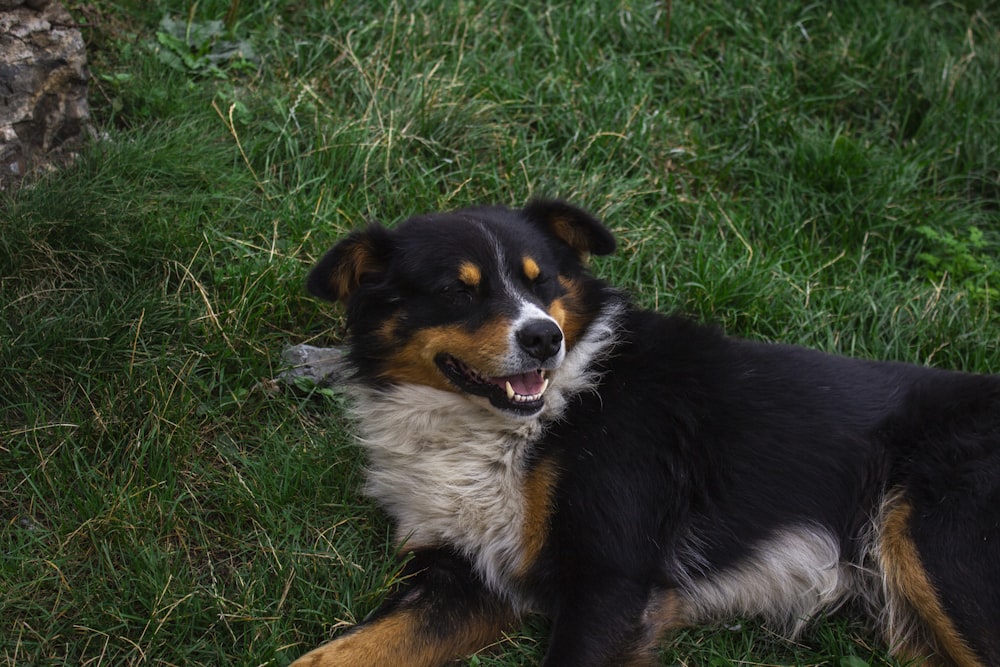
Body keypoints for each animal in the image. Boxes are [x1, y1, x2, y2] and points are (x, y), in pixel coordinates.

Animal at [290, 201, 1000, 664]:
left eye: (542, 279)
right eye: (456, 291)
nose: (544, 338)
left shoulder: (613, 579)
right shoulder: (469, 577)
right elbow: (336, 654)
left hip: (939, 545)